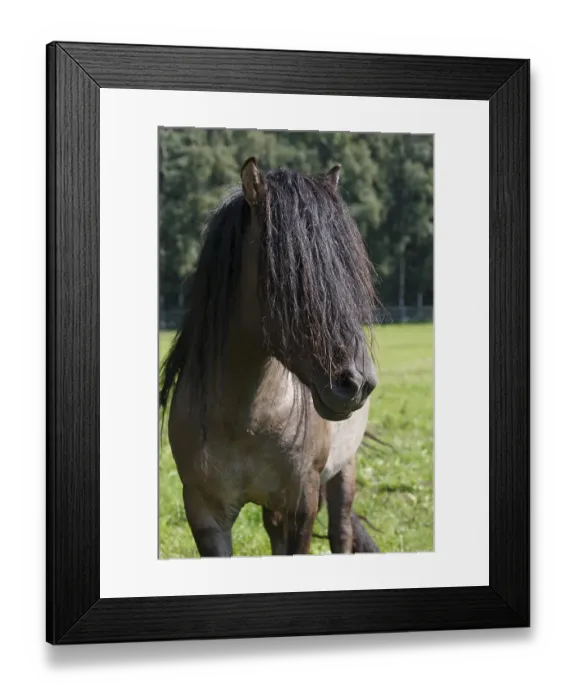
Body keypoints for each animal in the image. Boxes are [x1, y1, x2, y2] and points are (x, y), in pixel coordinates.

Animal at [160, 157, 381, 557]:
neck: (245, 418)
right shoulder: (205, 515)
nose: (356, 382)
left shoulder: (302, 505)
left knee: (341, 532)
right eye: (290, 270)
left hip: (344, 470)